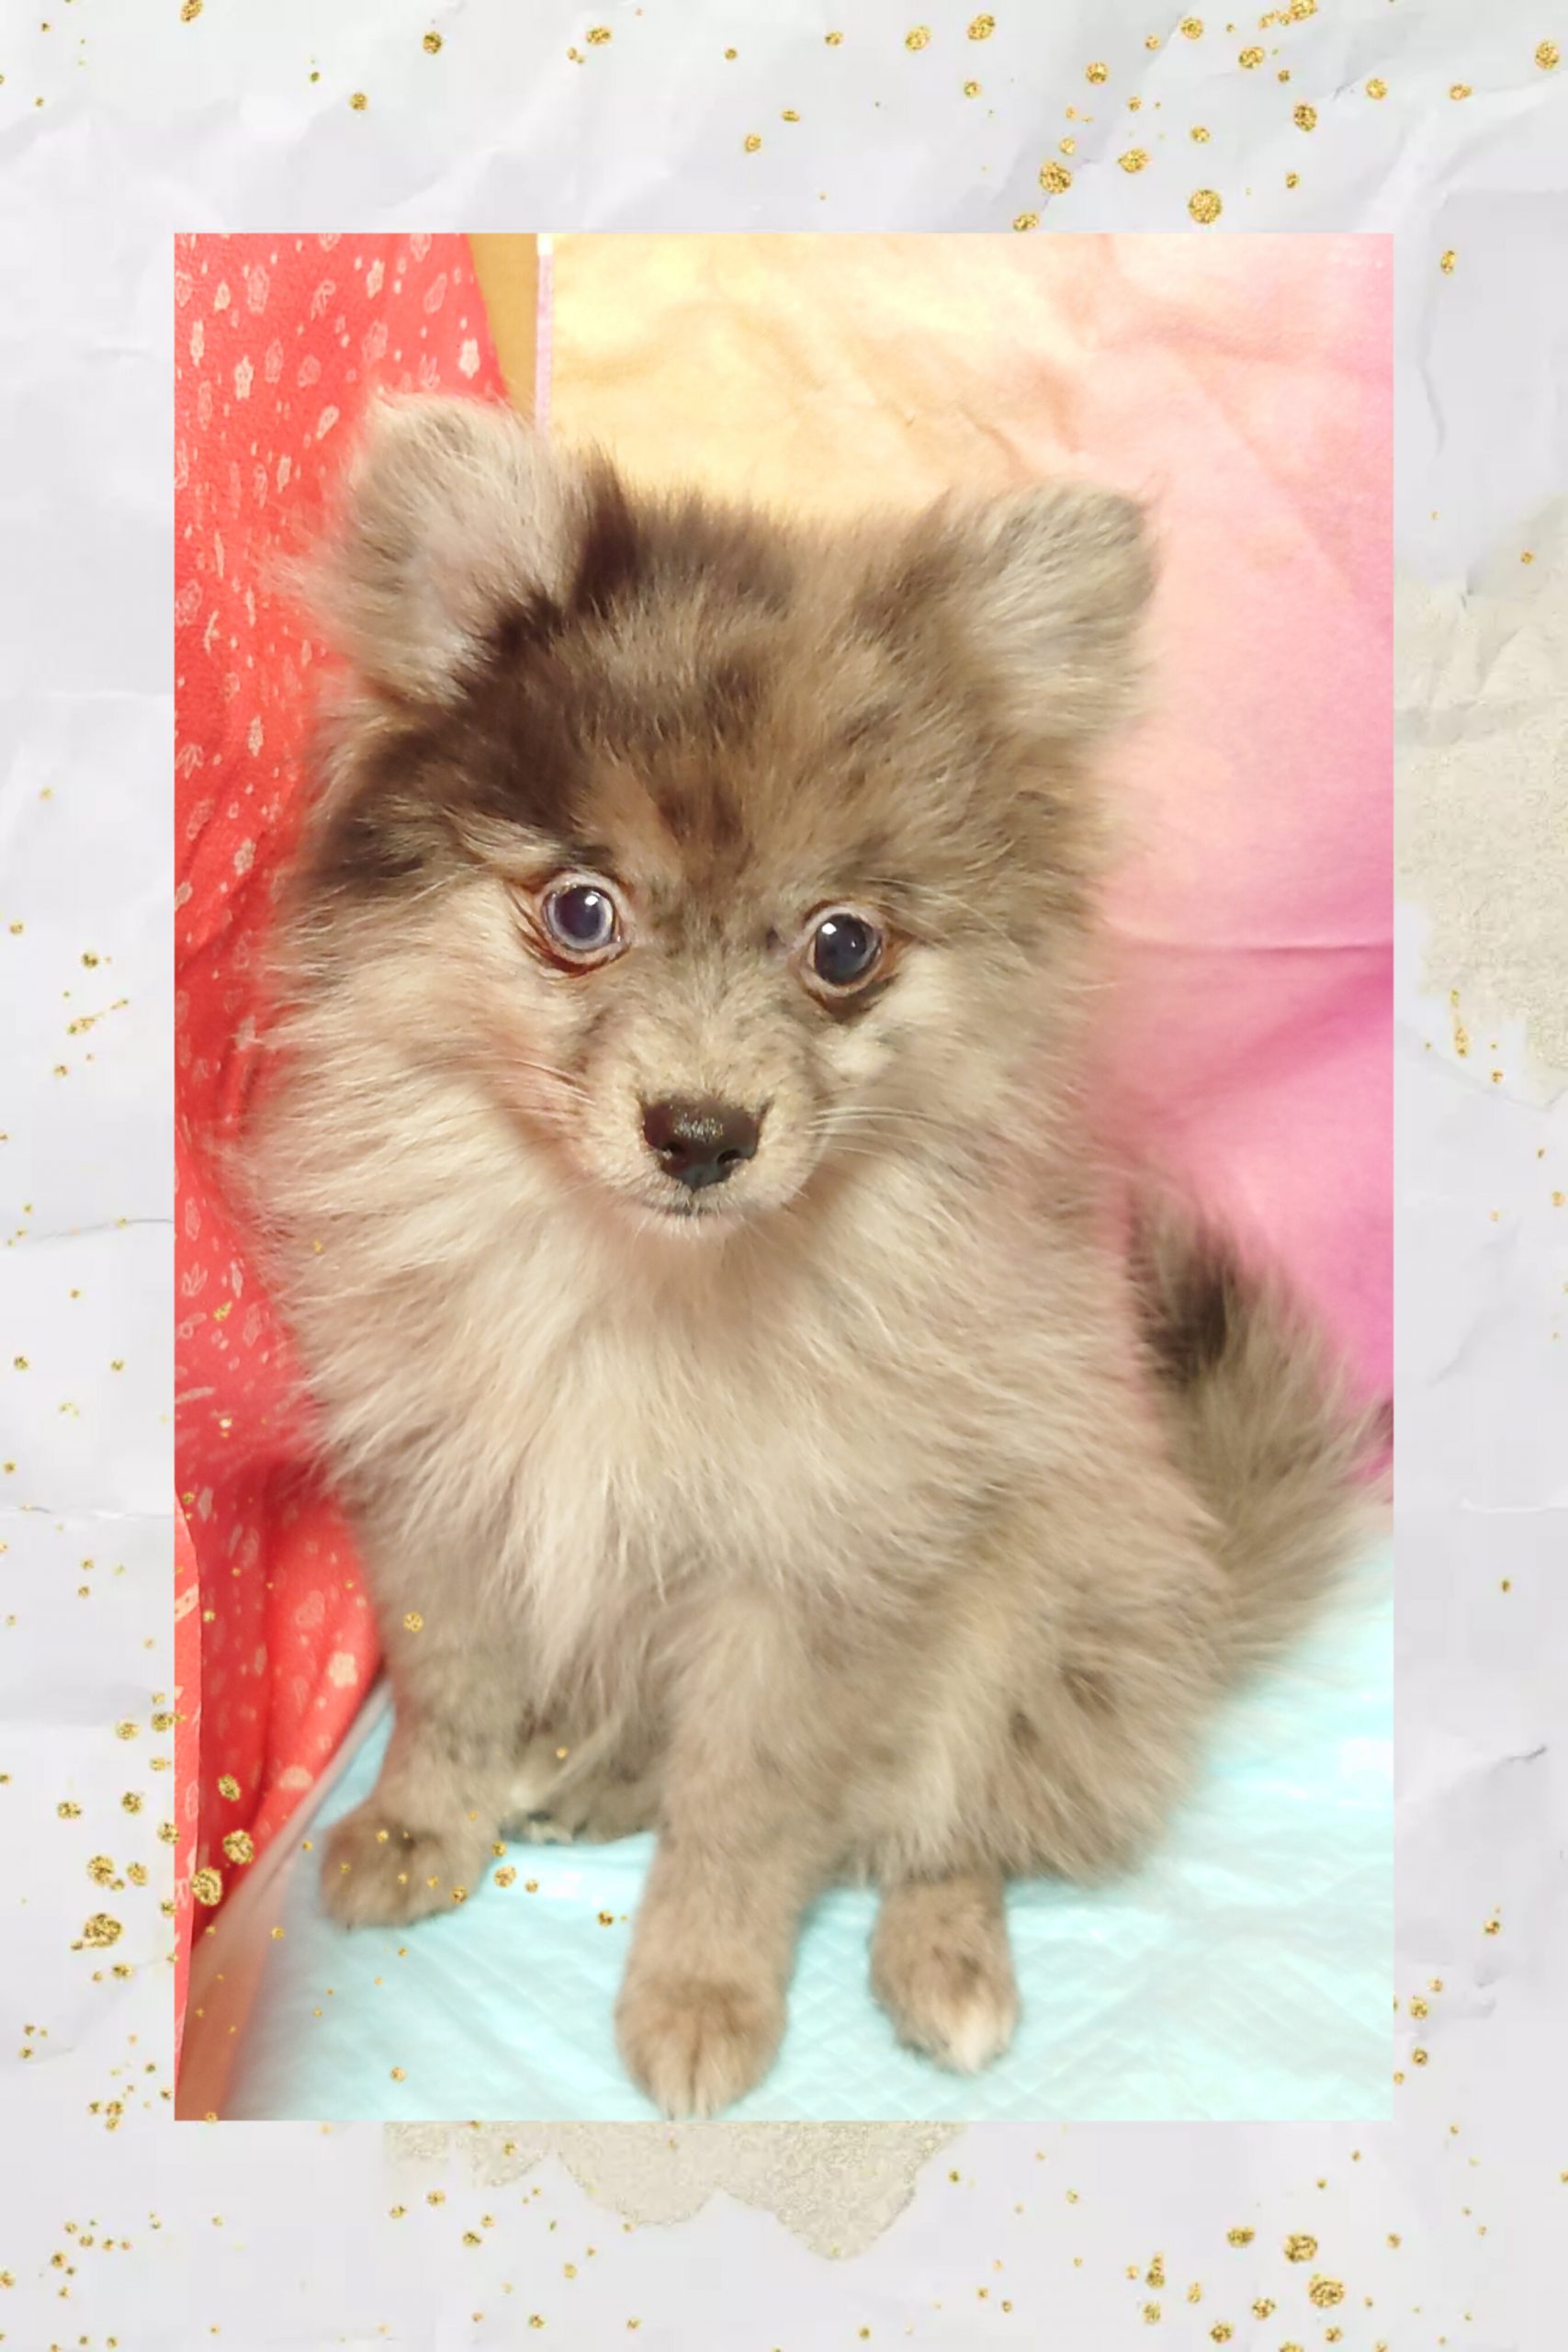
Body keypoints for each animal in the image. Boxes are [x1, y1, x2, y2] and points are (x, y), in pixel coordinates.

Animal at [244, 393, 1384, 2117]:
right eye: (580, 913)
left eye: (842, 946)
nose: (700, 1132)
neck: (648, 1282)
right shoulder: (445, 1489)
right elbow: (450, 1687)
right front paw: (420, 1823)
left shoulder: (815, 1571)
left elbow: (747, 1808)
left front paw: (702, 1991)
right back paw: (580, 1777)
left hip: (1032, 1606)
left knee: (948, 1822)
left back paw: (943, 1964)